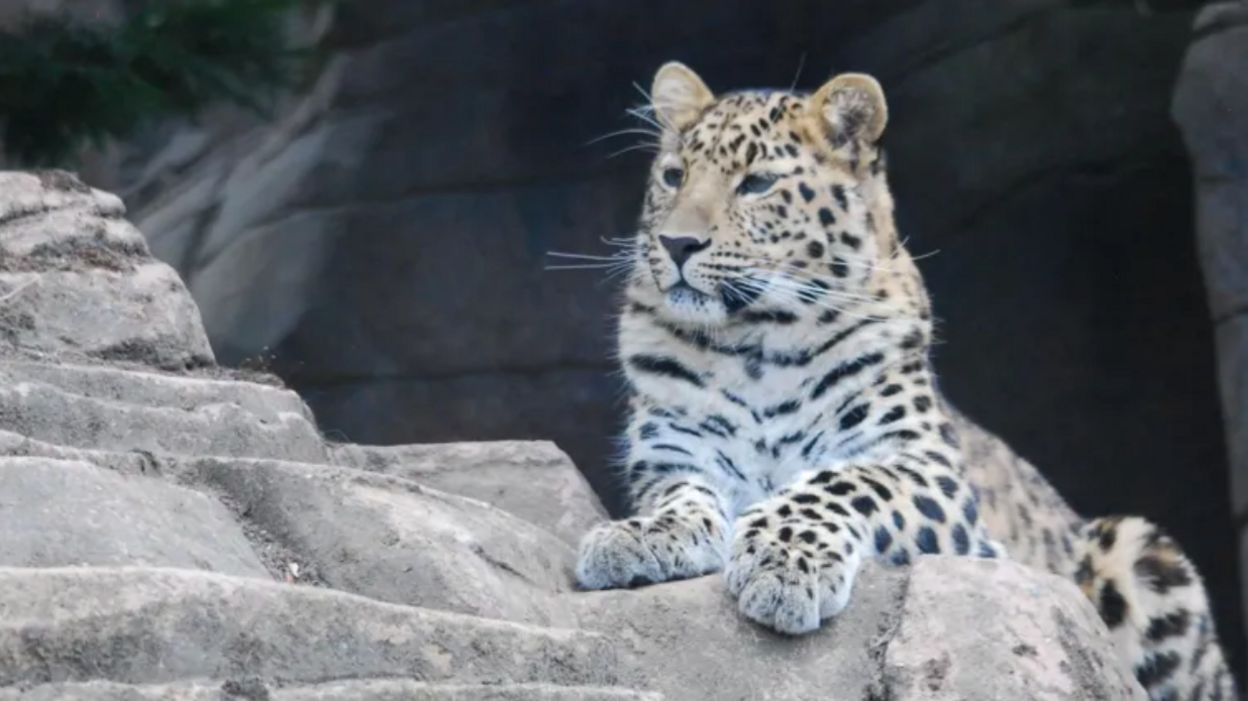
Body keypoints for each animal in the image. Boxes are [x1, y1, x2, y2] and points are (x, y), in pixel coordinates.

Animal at [574, 61, 1238, 698]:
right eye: (673, 176)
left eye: (757, 184)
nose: (676, 243)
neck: (755, 343)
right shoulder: (674, 457)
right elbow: (683, 495)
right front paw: (641, 535)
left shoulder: (928, 471)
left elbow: (841, 479)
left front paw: (785, 559)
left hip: (1143, 551)